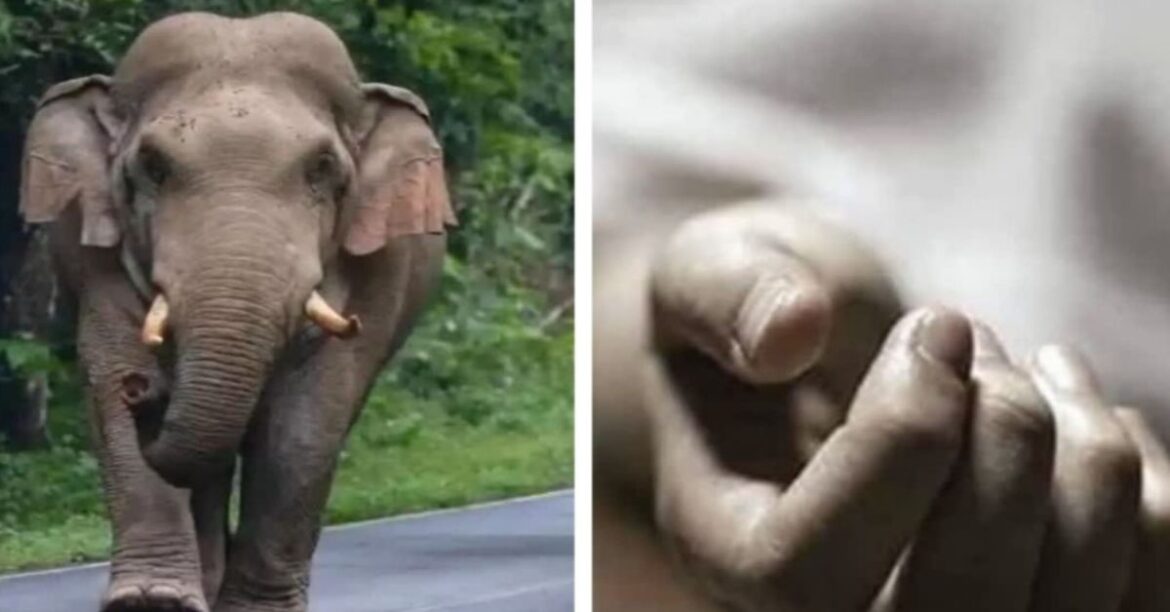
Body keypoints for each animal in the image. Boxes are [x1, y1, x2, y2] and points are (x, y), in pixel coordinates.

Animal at [18, 12, 455, 612]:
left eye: (322, 168)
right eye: (152, 167)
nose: (144, 391)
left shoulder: (378, 267)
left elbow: (308, 420)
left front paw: (254, 609)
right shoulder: (93, 252)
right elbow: (110, 367)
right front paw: (153, 602)